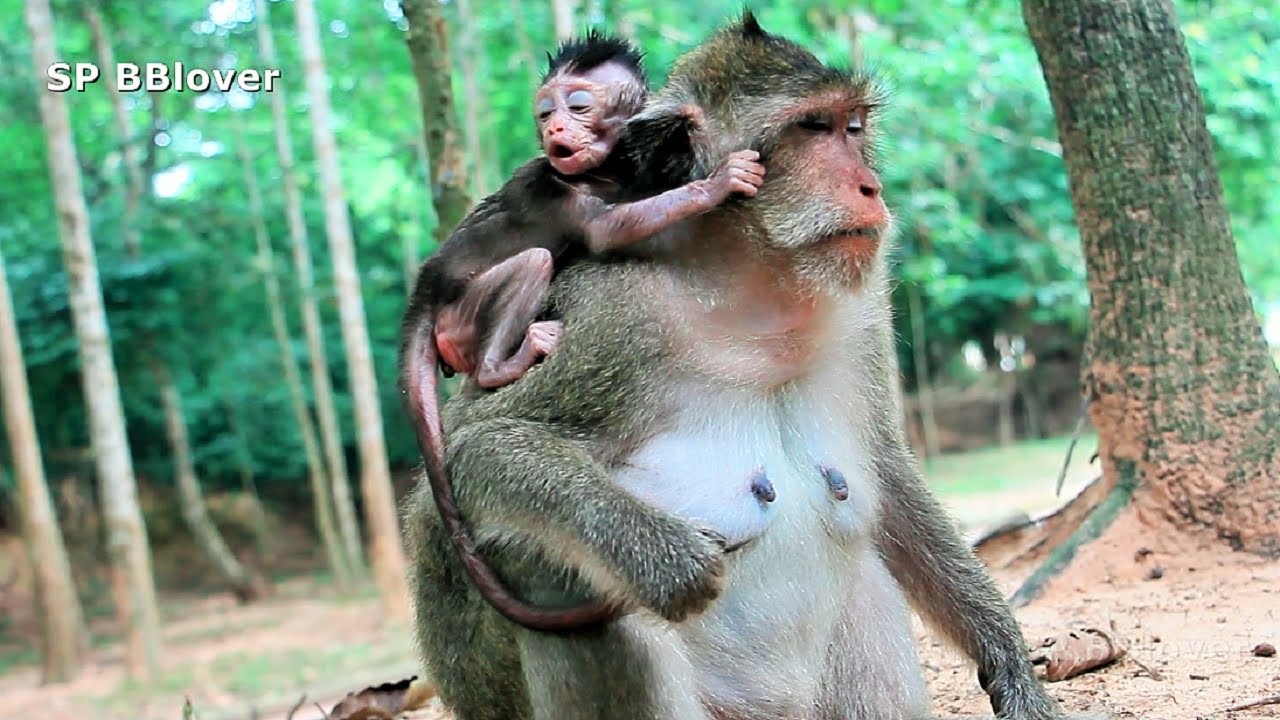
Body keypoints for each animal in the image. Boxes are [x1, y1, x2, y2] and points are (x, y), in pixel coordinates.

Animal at [400, 33, 764, 630]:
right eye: (545, 113)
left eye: (576, 106)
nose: (554, 131)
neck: (602, 172)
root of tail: (425, 291)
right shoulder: (556, 188)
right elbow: (606, 230)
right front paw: (717, 184)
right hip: (461, 315)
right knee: (537, 260)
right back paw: (502, 363)